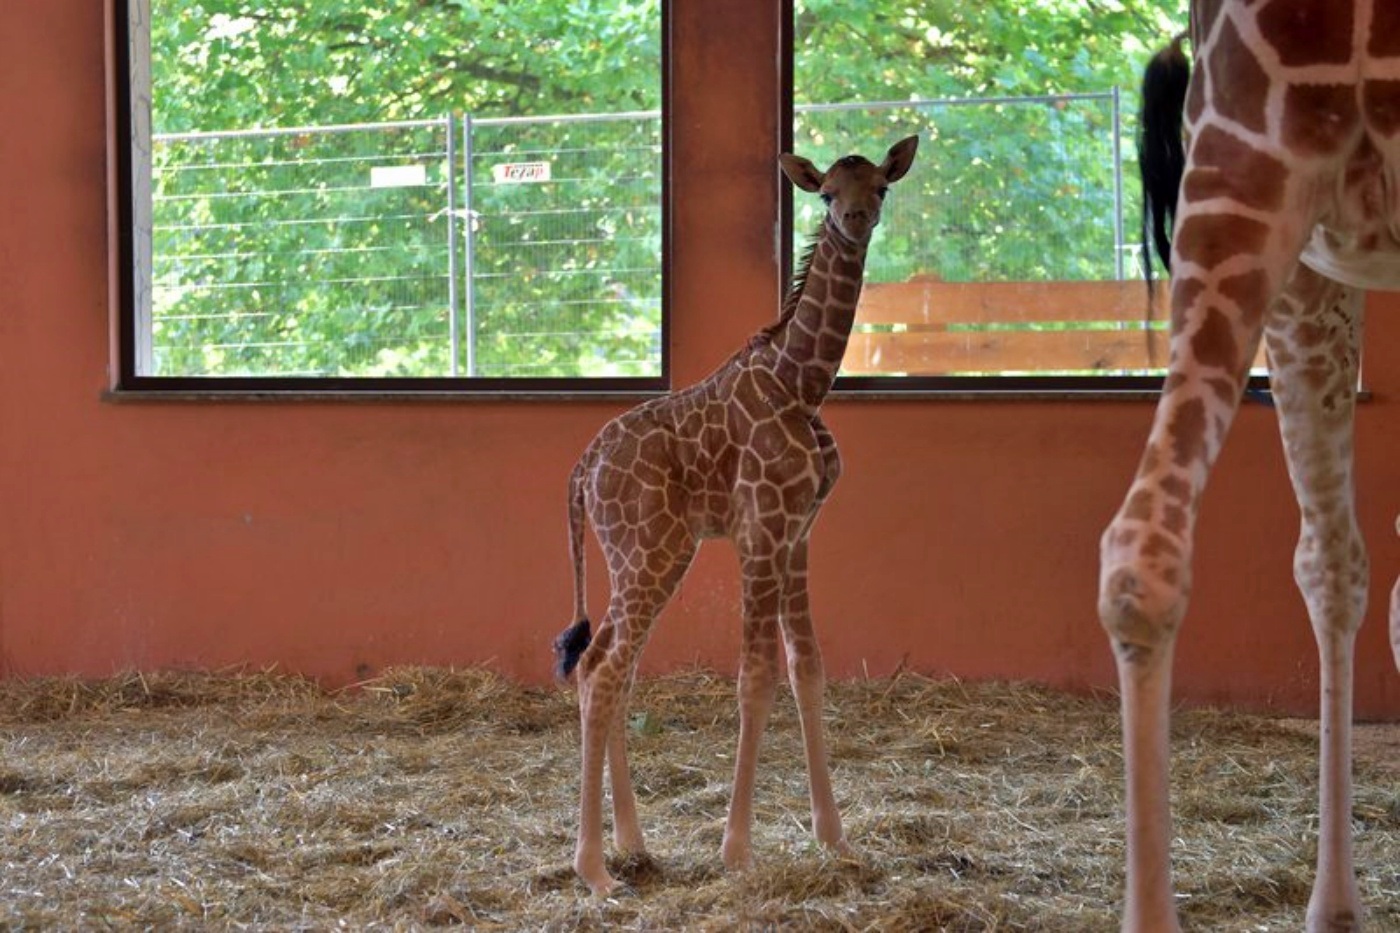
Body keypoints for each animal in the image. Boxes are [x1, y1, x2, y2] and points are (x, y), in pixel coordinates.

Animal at [551, 134, 924, 890]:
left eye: (880, 186)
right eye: (825, 192)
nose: (855, 219)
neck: (801, 382)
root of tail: (581, 474)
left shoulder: (800, 534)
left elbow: (807, 668)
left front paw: (835, 838)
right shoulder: (761, 531)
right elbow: (755, 677)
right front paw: (738, 850)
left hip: (647, 555)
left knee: (607, 666)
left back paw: (632, 843)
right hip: (652, 551)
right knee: (603, 668)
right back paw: (594, 869)